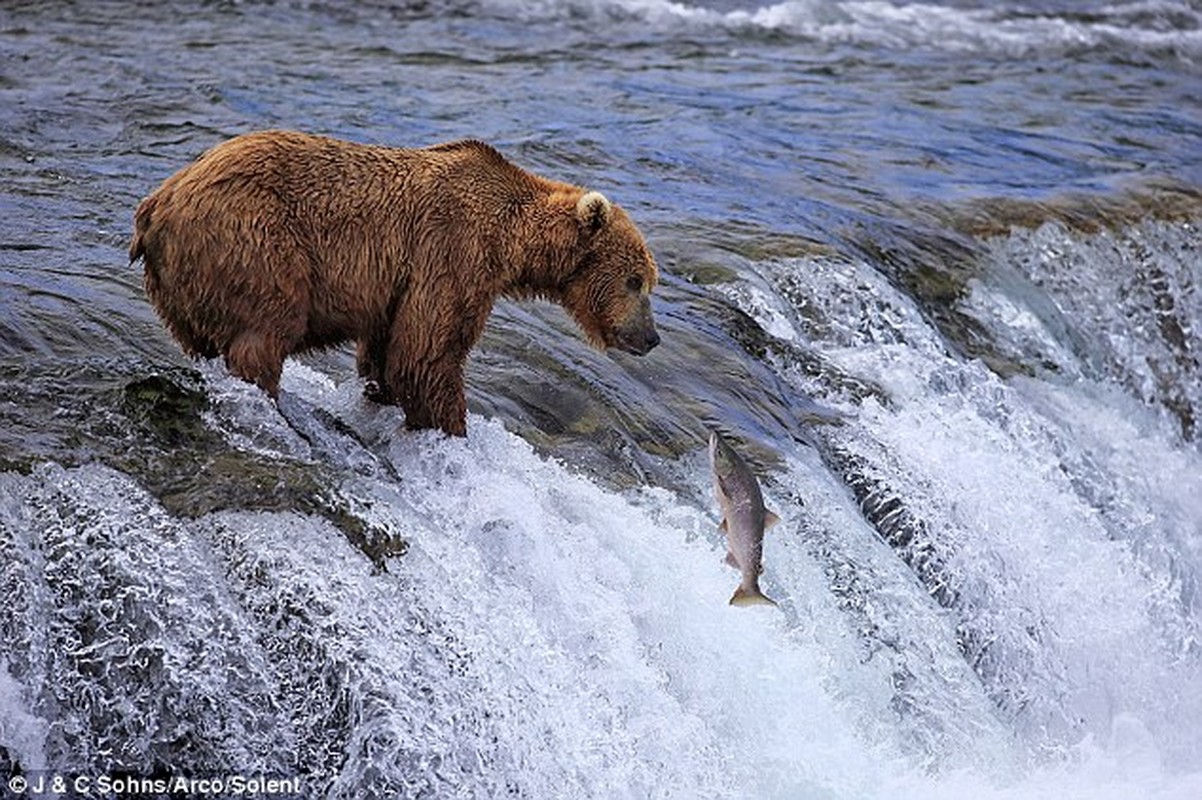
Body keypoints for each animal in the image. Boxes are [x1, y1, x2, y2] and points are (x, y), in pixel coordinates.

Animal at [126, 127, 663, 432]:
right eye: (636, 280)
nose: (651, 337)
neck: (509, 240)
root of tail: (157, 204)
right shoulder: (450, 252)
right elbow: (426, 353)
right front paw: (449, 426)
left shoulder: (399, 287)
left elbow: (387, 353)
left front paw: (383, 396)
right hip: (255, 240)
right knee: (266, 330)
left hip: (182, 285)